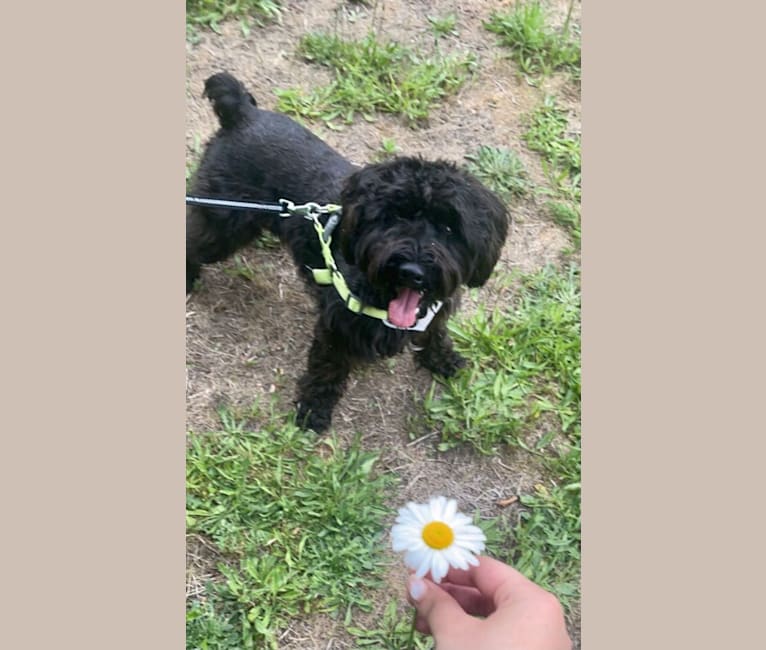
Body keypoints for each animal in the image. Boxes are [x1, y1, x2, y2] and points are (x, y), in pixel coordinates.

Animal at [188, 72, 510, 430]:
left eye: (449, 228)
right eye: (393, 216)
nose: (412, 272)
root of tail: (242, 113)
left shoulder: (434, 314)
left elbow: (435, 335)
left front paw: (444, 360)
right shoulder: (336, 327)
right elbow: (327, 368)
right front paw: (314, 408)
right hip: (223, 222)